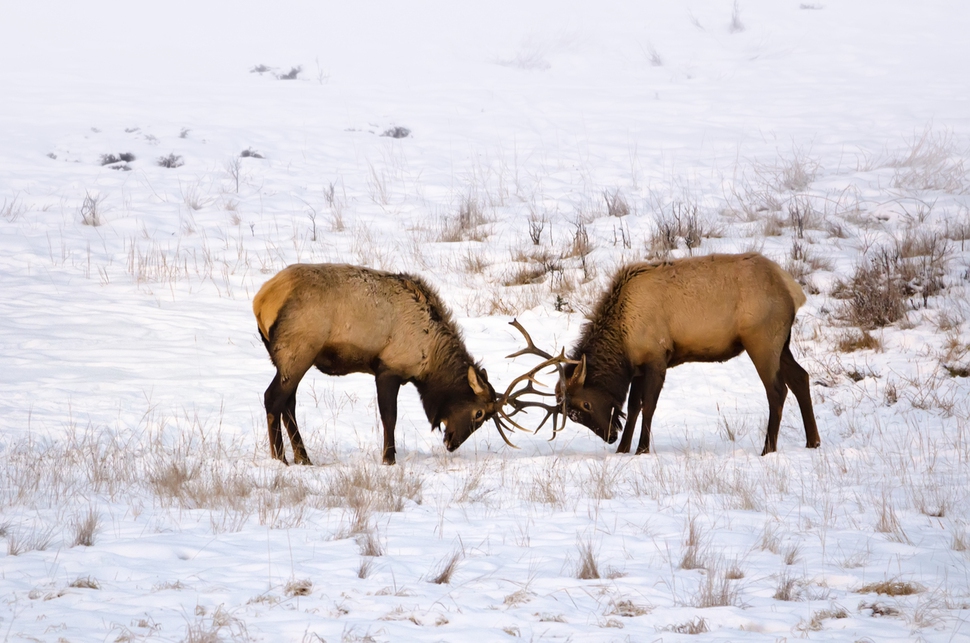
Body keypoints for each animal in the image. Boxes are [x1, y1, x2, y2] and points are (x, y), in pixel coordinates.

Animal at [251, 264, 516, 466]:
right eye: (479, 413)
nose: (452, 443)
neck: (429, 358)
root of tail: (260, 300)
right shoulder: (389, 368)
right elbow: (390, 417)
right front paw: (389, 459)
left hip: (291, 358)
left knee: (289, 403)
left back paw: (304, 458)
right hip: (297, 352)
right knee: (272, 398)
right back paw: (280, 459)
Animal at [510, 253, 820, 458]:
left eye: (585, 405)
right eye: (572, 416)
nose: (609, 436)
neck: (623, 338)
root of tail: (793, 289)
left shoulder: (658, 358)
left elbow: (648, 406)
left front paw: (641, 450)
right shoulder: (637, 366)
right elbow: (633, 407)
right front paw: (623, 449)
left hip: (762, 340)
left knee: (777, 390)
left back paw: (768, 449)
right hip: (782, 343)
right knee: (801, 378)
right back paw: (813, 442)